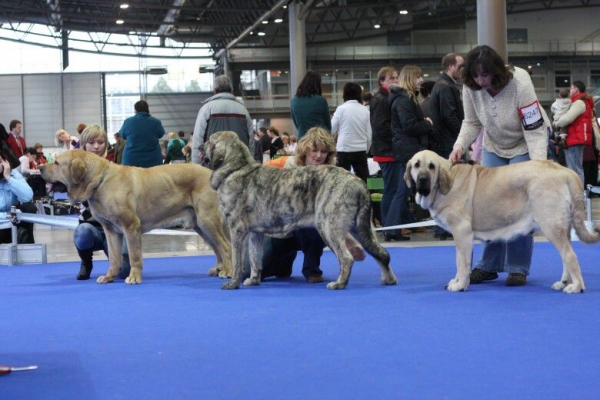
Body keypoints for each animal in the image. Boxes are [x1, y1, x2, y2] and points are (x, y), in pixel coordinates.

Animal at [39, 150, 232, 284]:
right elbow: (114, 257)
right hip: (200, 225)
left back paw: (228, 272)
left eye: (57, 163)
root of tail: (212, 174)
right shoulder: (111, 230)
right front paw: (109, 277)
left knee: (225, 246)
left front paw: (134, 277)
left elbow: (134, 256)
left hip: (207, 220)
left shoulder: (130, 226)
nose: (40, 167)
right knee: (217, 248)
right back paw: (219, 269)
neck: (100, 181)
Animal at [202, 131, 398, 290]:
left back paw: (339, 283)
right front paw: (254, 280)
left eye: (210, 140)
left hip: (327, 225)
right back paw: (388, 279)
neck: (236, 168)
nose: (200, 145)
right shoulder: (255, 234)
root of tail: (358, 182)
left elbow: (237, 261)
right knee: (382, 253)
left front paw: (233, 283)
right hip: (360, 228)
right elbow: (255, 258)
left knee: (346, 258)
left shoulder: (237, 230)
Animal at [404, 150, 600, 294]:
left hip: (551, 225)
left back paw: (576, 287)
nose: (422, 179)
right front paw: (458, 280)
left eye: (431, 166)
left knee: (570, 255)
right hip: (562, 227)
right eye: (416, 165)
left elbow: (461, 262)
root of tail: (565, 171)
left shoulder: (462, 232)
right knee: (565, 256)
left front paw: (460, 285)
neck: (447, 181)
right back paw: (563, 282)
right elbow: (461, 261)